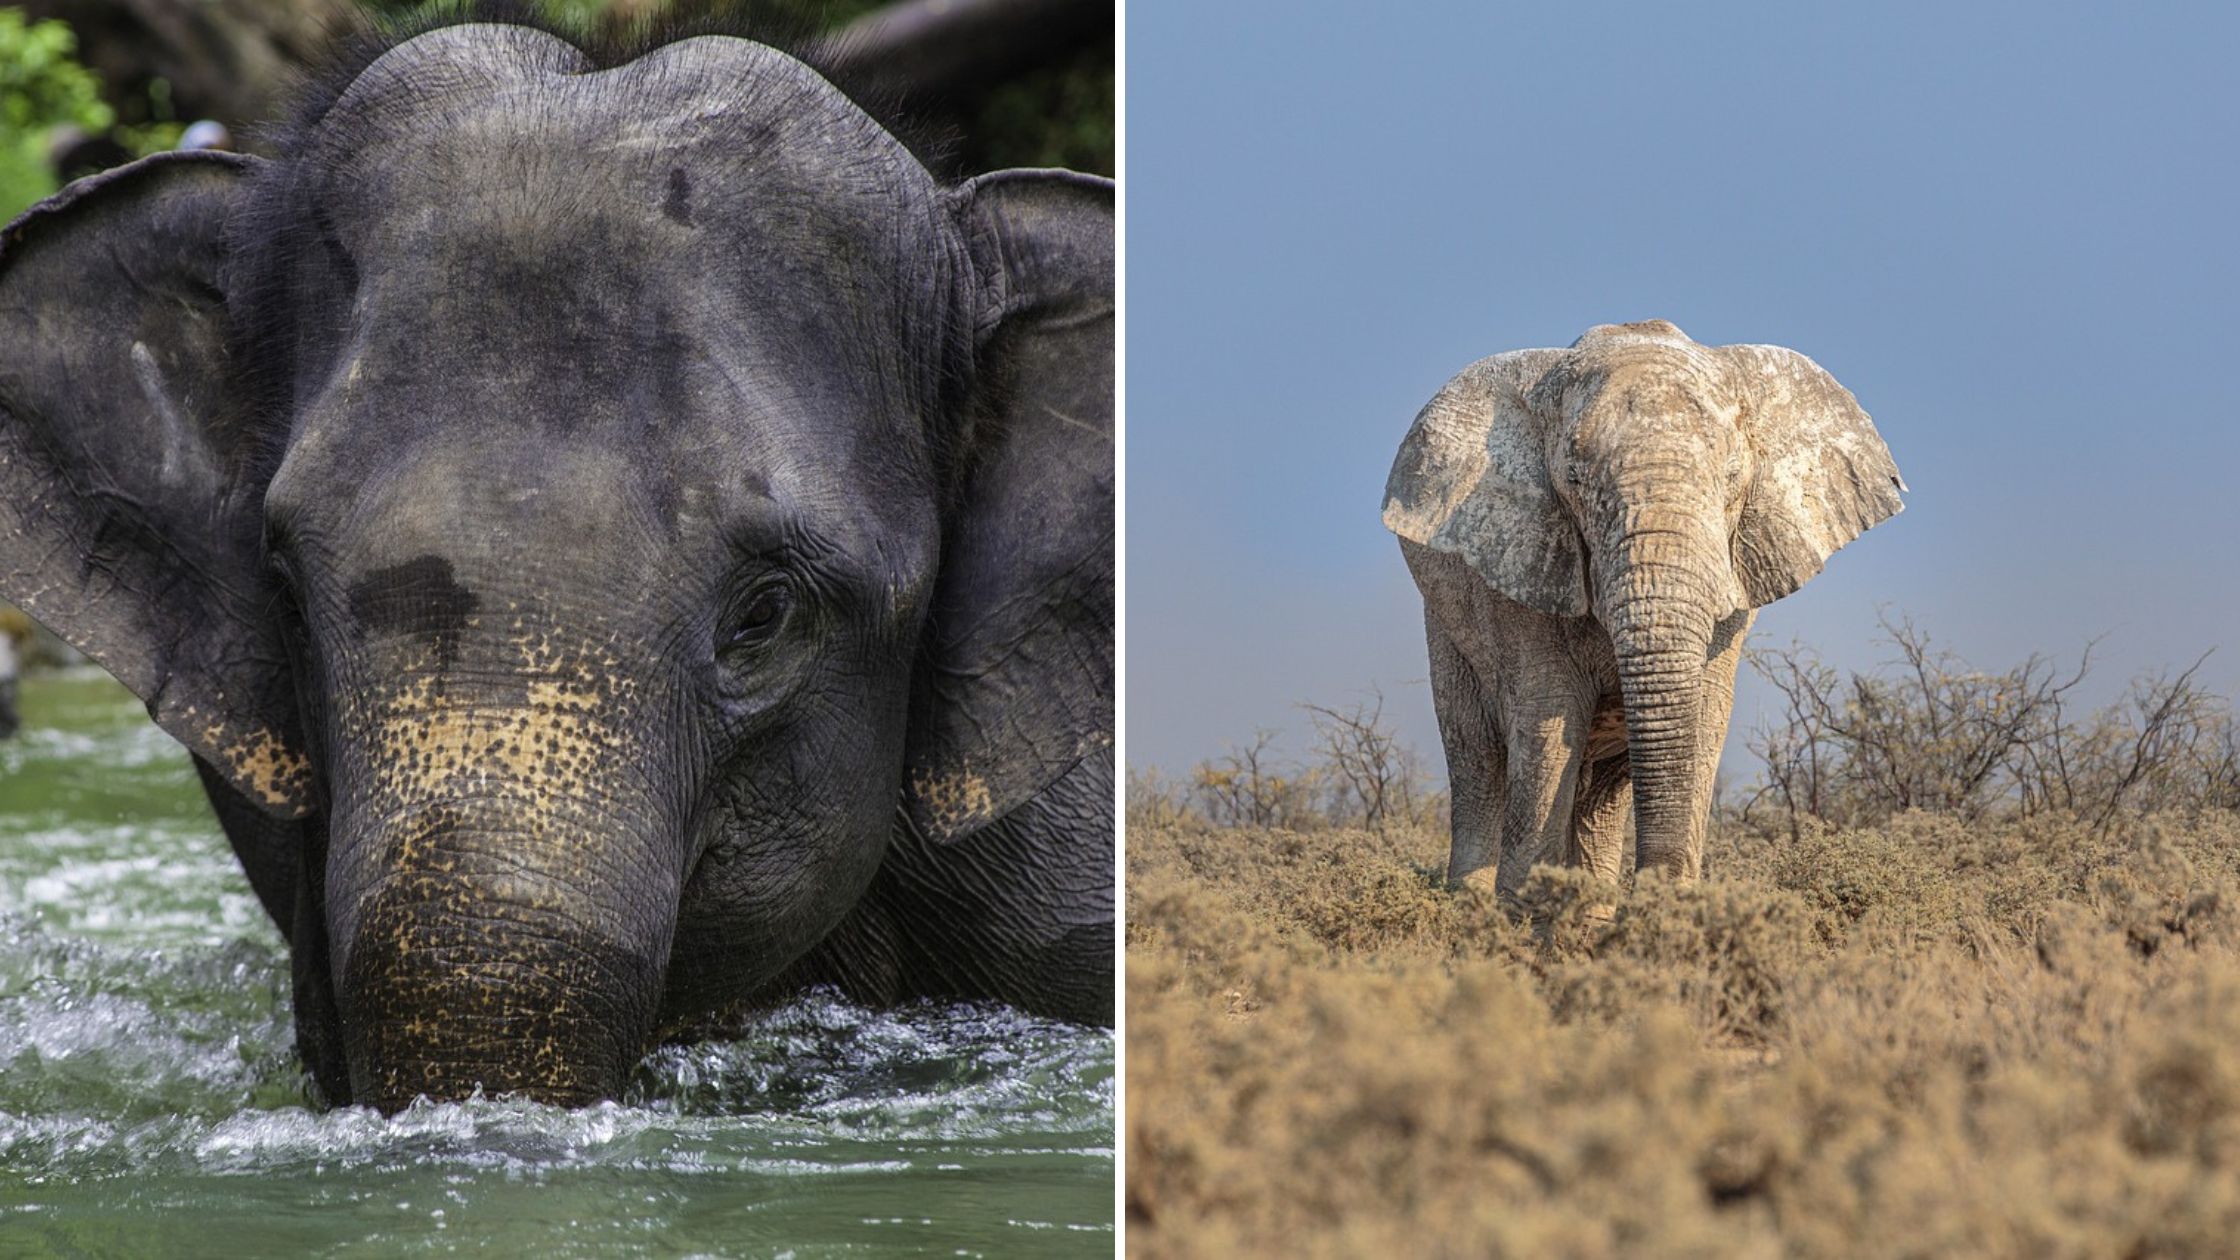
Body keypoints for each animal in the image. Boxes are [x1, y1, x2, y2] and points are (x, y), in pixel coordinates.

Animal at [1388, 320, 1899, 892]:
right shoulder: (1519, 566)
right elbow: (1546, 722)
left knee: (1601, 793)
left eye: (1732, 476)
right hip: (1446, 624)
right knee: (1478, 760)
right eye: (1573, 478)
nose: (1653, 886)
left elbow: (1705, 720)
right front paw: (1523, 909)